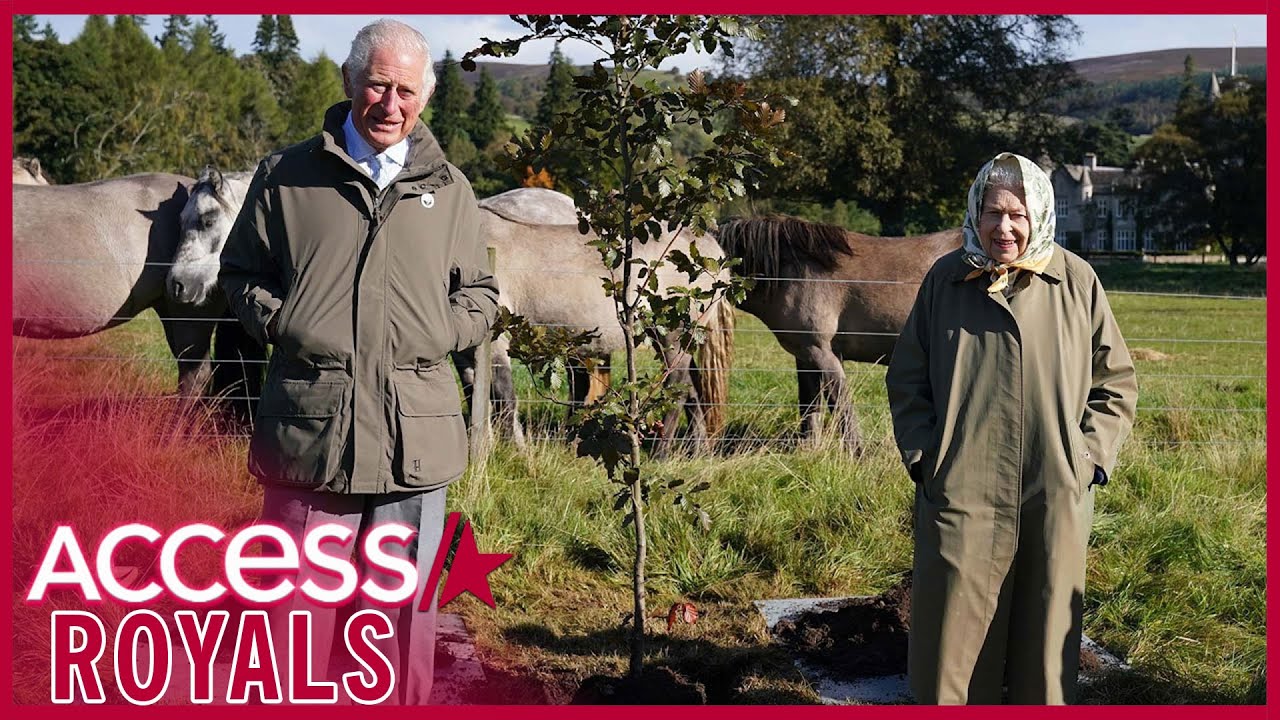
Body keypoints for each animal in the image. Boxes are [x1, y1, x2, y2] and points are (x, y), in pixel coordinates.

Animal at [721, 212, 962, 450]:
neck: (790, 271)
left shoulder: (821, 352)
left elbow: (841, 406)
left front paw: (857, 453)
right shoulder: (806, 356)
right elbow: (810, 406)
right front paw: (809, 450)